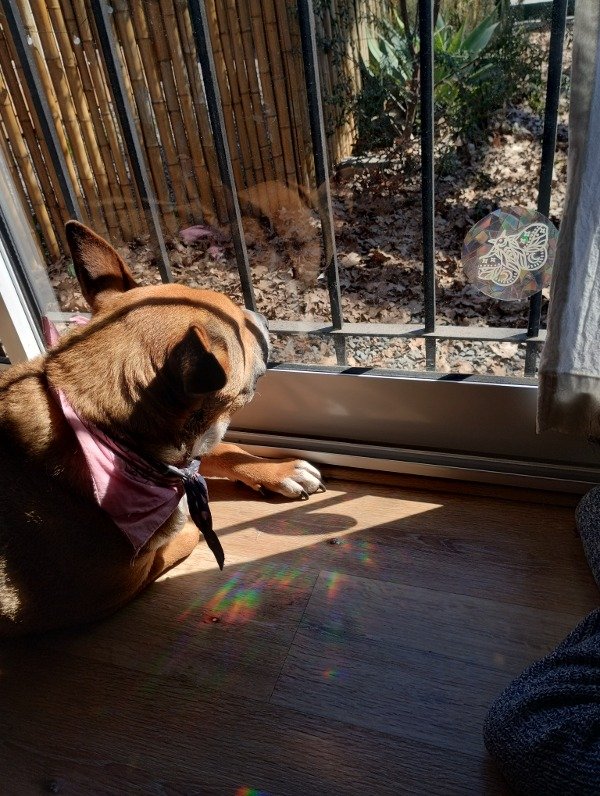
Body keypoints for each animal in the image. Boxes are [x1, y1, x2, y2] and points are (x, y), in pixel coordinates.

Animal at [0, 221, 323, 636]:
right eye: (241, 329)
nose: (265, 320)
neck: (108, 437)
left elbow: (222, 451)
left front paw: (277, 470)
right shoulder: (121, 583)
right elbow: (184, 533)